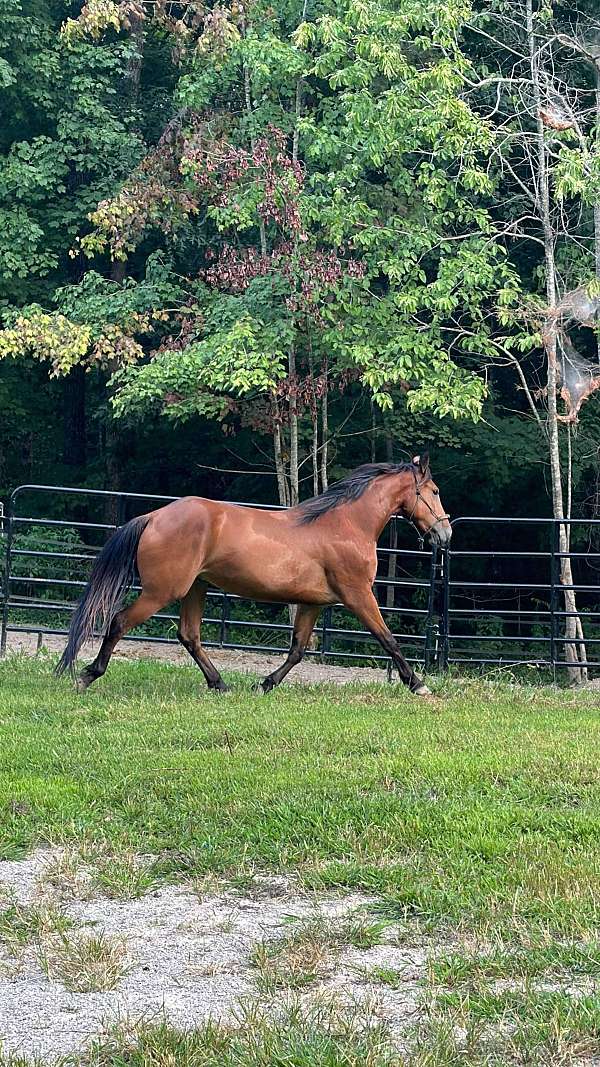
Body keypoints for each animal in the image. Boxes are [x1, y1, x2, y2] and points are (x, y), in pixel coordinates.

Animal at [57, 454, 448, 695]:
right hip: (162, 591)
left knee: (189, 635)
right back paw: (87, 676)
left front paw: (265, 684)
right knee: (120, 622)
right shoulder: (358, 595)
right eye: (434, 491)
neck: (346, 524)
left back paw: (220, 684)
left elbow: (297, 650)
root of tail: (154, 516)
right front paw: (418, 684)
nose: (445, 534)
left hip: (195, 588)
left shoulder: (313, 604)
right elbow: (389, 639)